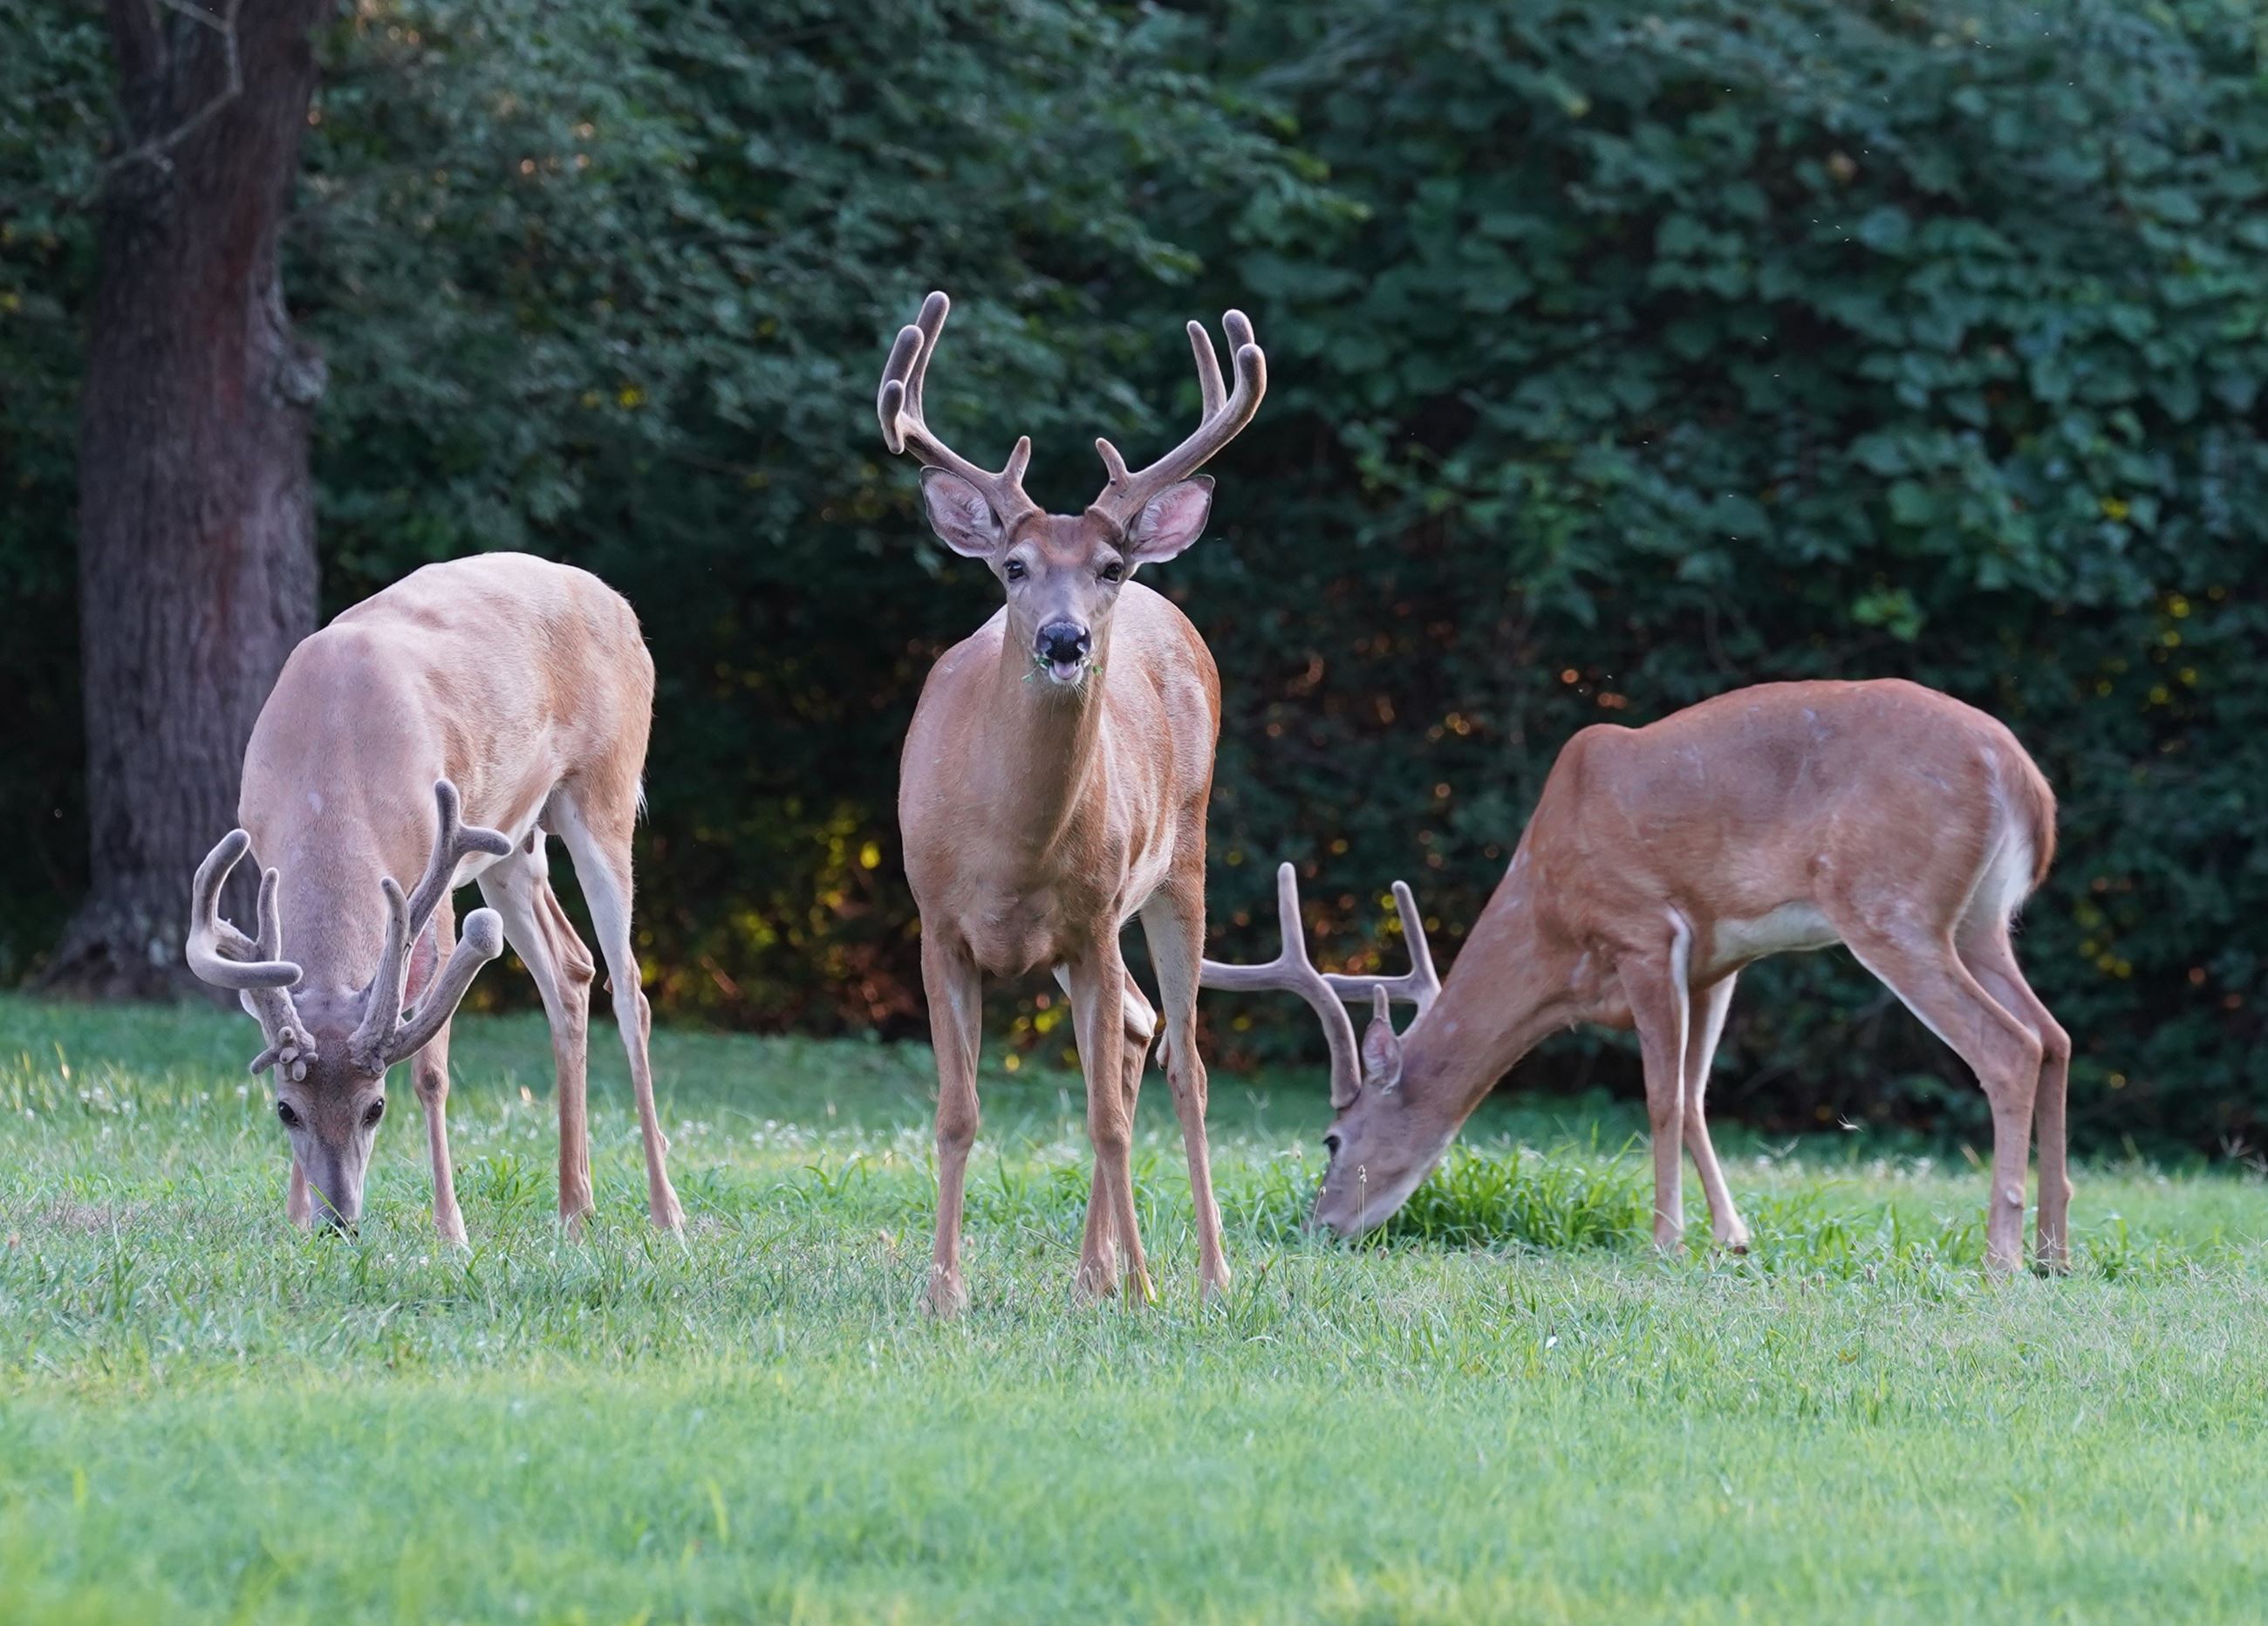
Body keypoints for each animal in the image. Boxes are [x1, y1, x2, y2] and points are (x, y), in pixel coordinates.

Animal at [184, 552, 684, 1240]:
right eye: (286, 1111)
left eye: (375, 1108)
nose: (340, 1220)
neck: (333, 760)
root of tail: (623, 609)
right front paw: (292, 1216)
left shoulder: (435, 872)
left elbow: (432, 1071)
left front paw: (451, 1229)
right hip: (513, 843)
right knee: (570, 968)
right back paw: (574, 1207)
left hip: (605, 792)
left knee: (630, 987)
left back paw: (667, 1212)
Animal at [882, 290, 1263, 1315]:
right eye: (1012, 566)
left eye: (1108, 567)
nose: (1062, 640)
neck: (1011, 848)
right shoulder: (937, 923)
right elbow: (957, 1111)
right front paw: (942, 1291)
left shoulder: (1091, 920)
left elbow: (1105, 1122)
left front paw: (1147, 1288)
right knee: (1133, 1028)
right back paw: (1095, 1271)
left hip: (1181, 862)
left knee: (1181, 1061)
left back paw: (1200, 1271)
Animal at [1202, 678, 2073, 1274]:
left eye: (1332, 1138)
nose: (1319, 1228)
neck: (1552, 927)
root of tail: (2026, 781)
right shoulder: (1720, 961)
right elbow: (1695, 1098)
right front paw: (1732, 1238)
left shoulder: (1646, 933)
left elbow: (1659, 1100)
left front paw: (1665, 1241)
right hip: (1981, 920)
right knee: (2056, 1036)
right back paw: (2054, 1250)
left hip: (1891, 906)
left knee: (2010, 1046)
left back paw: (2000, 1252)